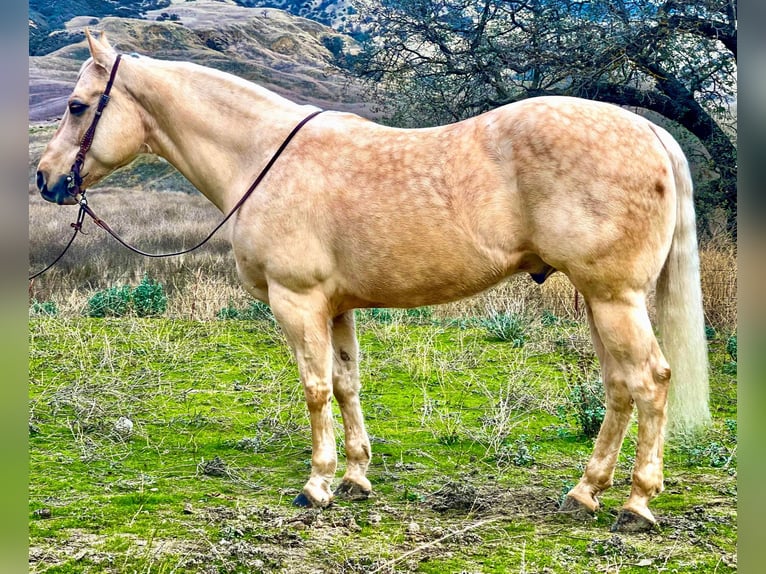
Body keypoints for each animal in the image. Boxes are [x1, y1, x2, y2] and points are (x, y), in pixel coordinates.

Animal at [33, 30, 712, 536]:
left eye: (76, 105)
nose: (45, 178)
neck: (262, 158)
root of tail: (649, 131)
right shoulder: (337, 308)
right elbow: (345, 383)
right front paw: (357, 476)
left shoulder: (297, 301)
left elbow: (313, 390)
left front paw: (317, 485)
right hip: (600, 302)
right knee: (620, 387)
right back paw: (585, 491)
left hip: (615, 298)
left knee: (649, 381)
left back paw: (636, 504)